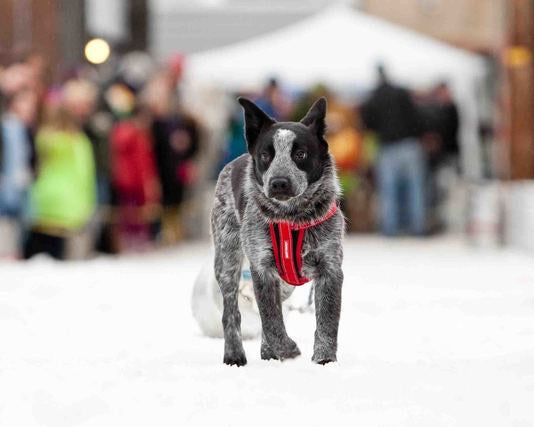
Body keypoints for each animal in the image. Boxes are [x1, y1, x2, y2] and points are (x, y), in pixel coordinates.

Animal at [211, 98, 346, 368]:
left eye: (300, 154)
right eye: (265, 155)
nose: (279, 182)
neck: (292, 218)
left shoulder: (330, 268)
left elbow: (327, 321)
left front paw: (324, 360)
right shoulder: (262, 269)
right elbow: (271, 320)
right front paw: (288, 350)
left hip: (285, 284)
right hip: (227, 260)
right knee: (232, 312)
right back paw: (235, 354)